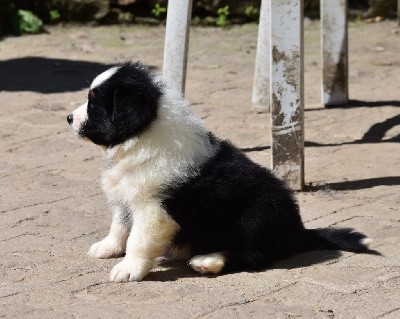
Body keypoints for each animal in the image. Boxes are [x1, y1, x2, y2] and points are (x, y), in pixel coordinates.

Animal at [68, 62, 372, 282]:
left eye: (93, 105)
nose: (69, 118)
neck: (141, 136)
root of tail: (297, 231)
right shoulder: (126, 195)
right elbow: (120, 225)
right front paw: (107, 247)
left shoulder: (154, 209)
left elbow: (138, 240)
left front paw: (128, 268)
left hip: (255, 216)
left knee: (256, 255)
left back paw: (209, 260)